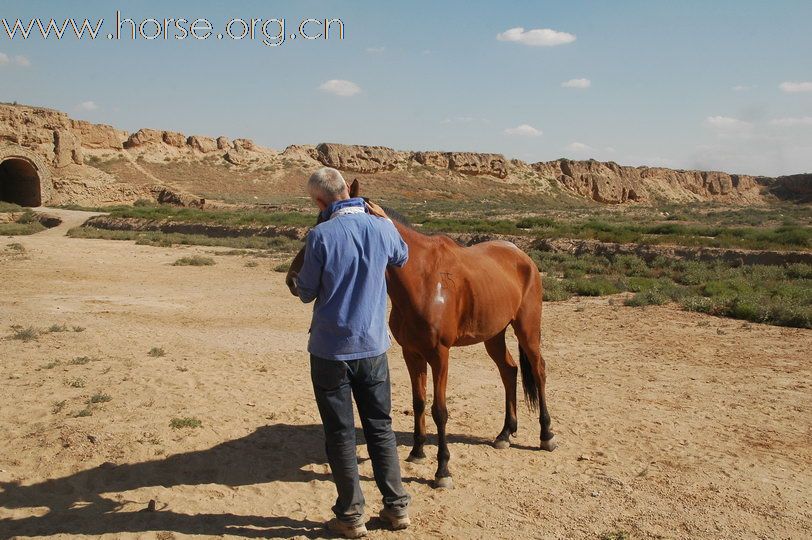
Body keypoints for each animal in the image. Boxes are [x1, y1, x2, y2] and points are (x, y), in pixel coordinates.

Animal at [288, 181, 560, 490]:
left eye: (329, 221)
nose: (294, 280)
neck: (421, 280)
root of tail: (522, 257)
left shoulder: (439, 355)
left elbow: (439, 410)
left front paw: (442, 470)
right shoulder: (412, 353)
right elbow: (418, 402)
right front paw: (418, 451)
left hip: (527, 329)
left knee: (538, 370)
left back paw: (546, 435)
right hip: (494, 334)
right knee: (509, 371)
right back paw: (505, 433)